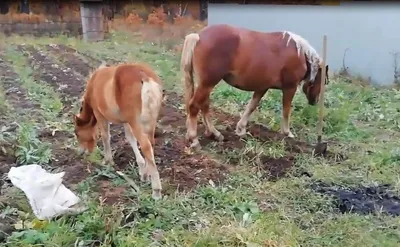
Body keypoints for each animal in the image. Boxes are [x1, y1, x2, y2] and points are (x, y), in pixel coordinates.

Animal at [73, 62, 162, 200]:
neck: (94, 83)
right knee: (150, 143)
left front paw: (108, 161)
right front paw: (143, 170)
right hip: (149, 122)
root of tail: (143, 75)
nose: (81, 152)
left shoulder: (99, 114)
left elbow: (105, 136)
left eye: (76, 132)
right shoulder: (126, 121)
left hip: (136, 123)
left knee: (146, 146)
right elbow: (130, 139)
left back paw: (156, 190)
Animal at [181, 24, 328, 150]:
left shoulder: (262, 87)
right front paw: (287, 133)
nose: (315, 101)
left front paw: (241, 129)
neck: (299, 53)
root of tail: (198, 36)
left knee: (203, 105)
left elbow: (251, 106)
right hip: (208, 82)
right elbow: (286, 111)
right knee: (194, 106)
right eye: (324, 81)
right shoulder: (289, 88)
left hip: (206, 83)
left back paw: (214, 134)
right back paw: (195, 139)